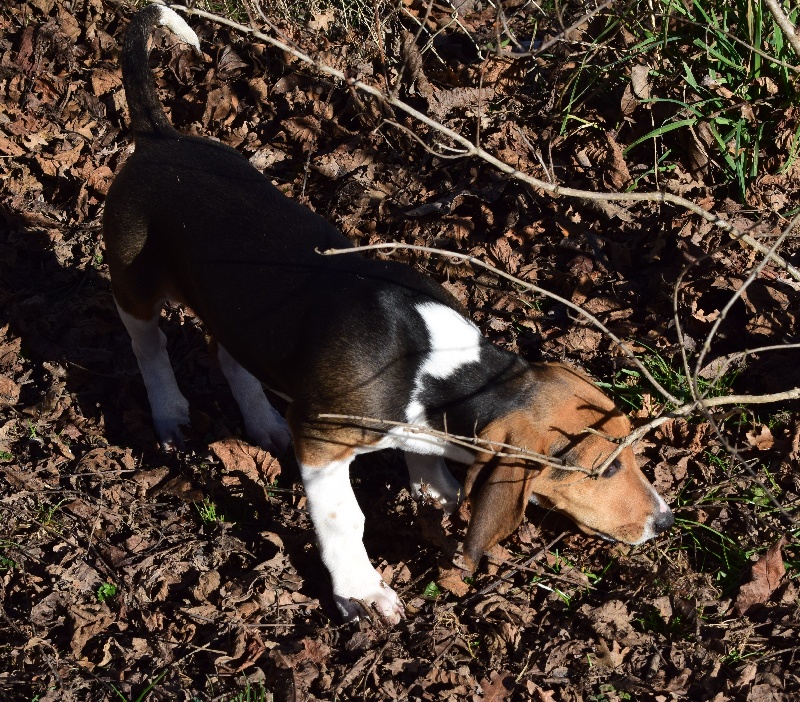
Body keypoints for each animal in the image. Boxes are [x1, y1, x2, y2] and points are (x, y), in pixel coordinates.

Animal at [101, 6, 676, 628]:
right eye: (606, 469)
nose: (665, 521)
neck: (448, 370)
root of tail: (159, 138)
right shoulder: (323, 442)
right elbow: (345, 521)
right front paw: (360, 591)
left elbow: (425, 462)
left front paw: (436, 494)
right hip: (134, 286)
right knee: (149, 347)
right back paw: (170, 413)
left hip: (237, 307)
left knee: (229, 355)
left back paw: (262, 421)